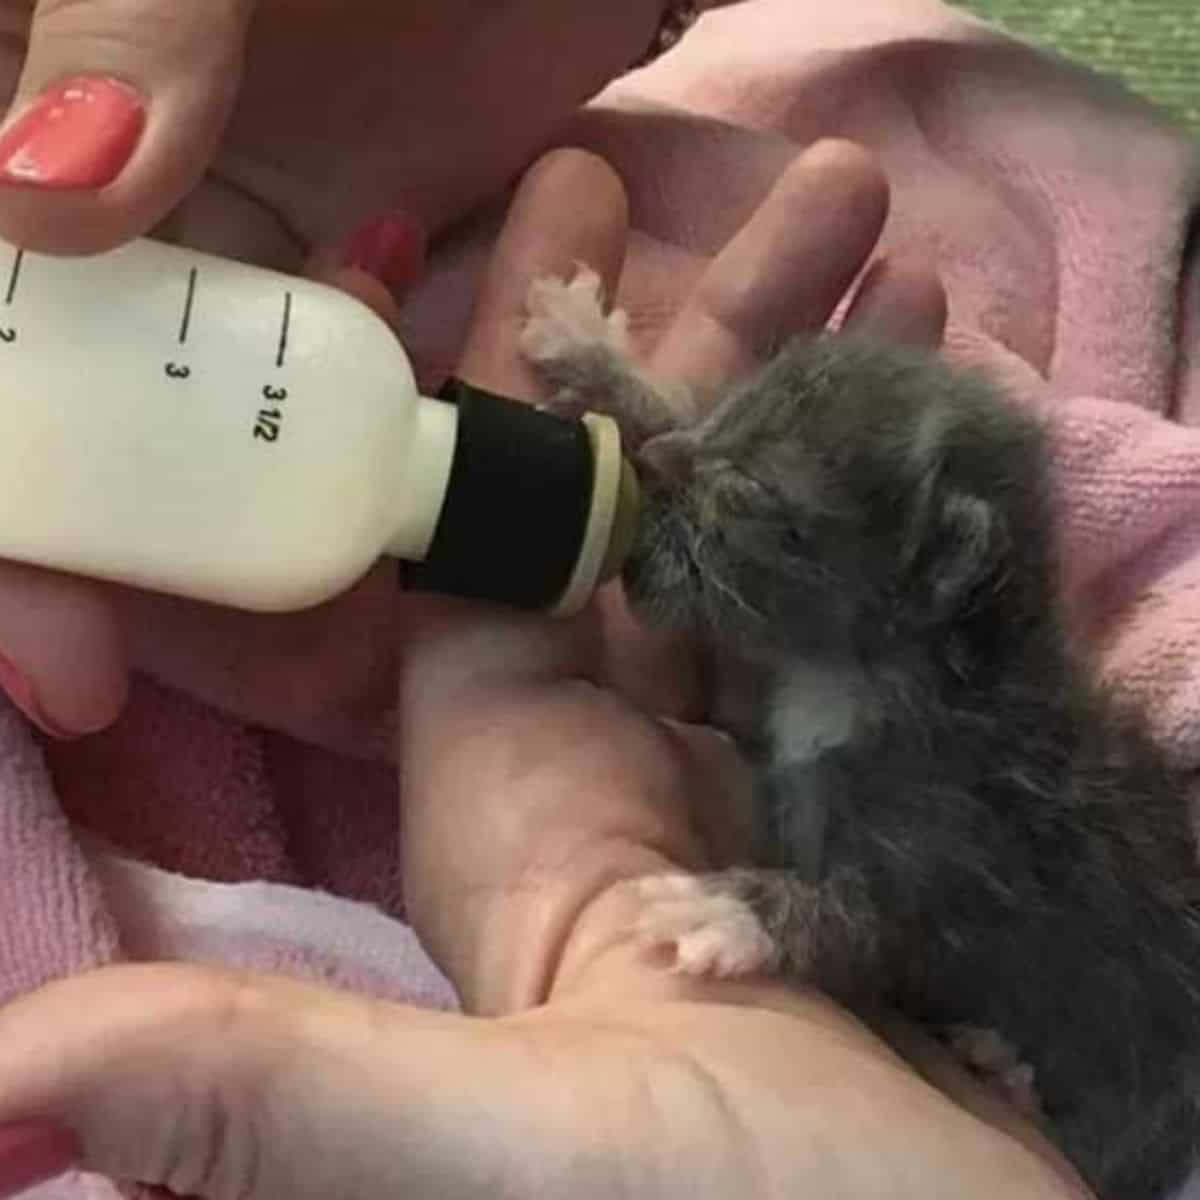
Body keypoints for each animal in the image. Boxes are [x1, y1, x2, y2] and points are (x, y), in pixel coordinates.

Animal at [520, 267, 1200, 1200]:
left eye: (754, 494)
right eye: (728, 413)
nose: (657, 471)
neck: (876, 679)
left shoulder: (965, 839)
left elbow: (871, 926)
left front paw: (737, 909)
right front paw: (603, 363)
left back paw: (1006, 1071)